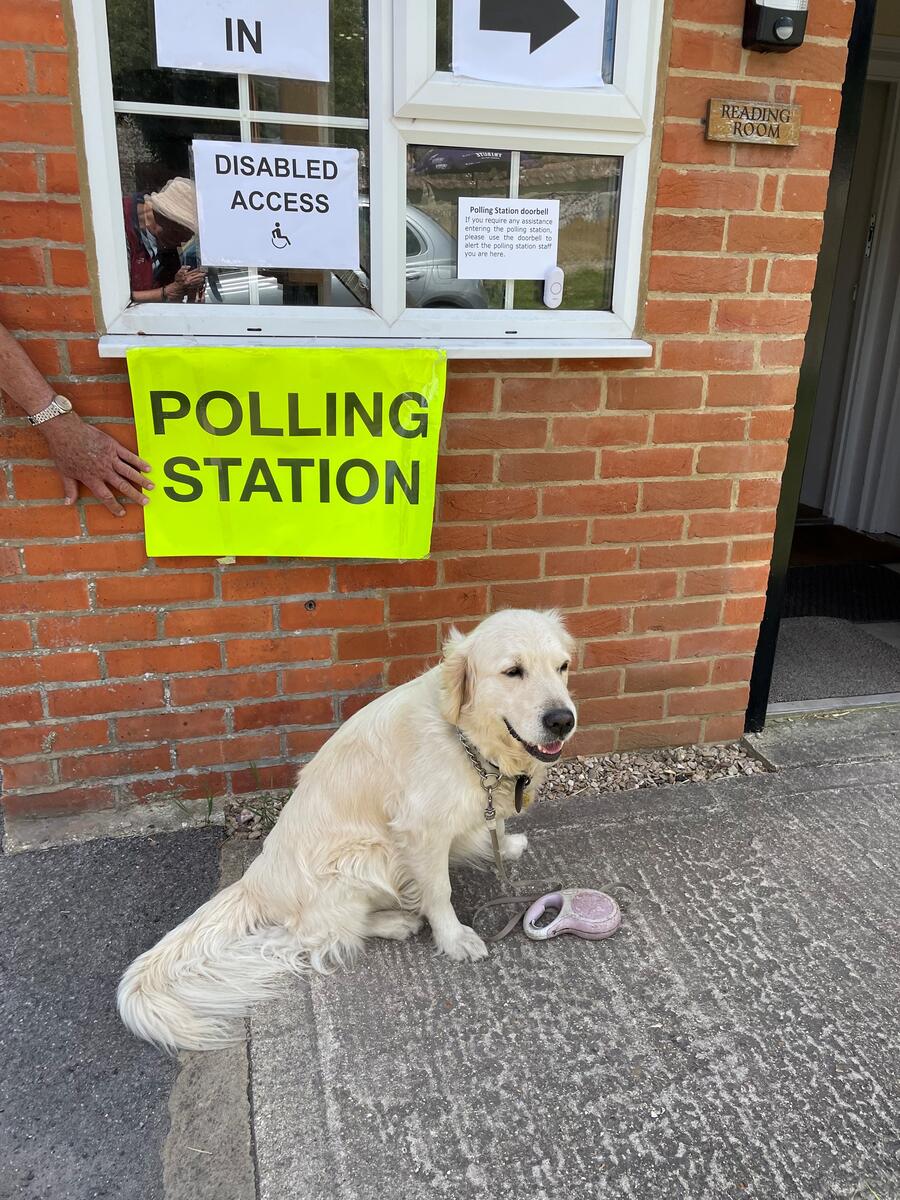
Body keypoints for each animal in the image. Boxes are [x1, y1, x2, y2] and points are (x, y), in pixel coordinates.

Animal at [118, 609, 578, 1051]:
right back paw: (394, 922)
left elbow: (492, 825)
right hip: (365, 855)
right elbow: (439, 892)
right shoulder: (419, 829)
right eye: (513, 671)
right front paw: (453, 938)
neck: (464, 734)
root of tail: (255, 882)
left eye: (563, 666)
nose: (563, 720)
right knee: (311, 935)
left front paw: (508, 844)